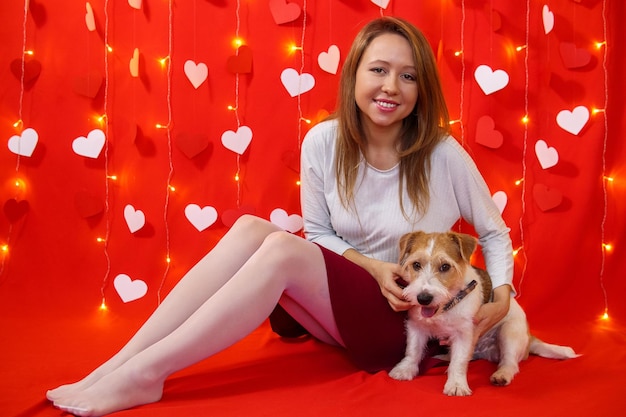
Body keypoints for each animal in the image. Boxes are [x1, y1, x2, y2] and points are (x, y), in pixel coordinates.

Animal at [388, 231, 576, 396]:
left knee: (510, 362)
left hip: (509, 332)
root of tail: (529, 338)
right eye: (416, 265)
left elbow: (459, 361)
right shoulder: (416, 326)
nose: (423, 298)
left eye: (445, 266)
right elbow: (413, 350)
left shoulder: (464, 334)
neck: (446, 306)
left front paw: (456, 384)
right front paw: (405, 369)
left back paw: (502, 374)